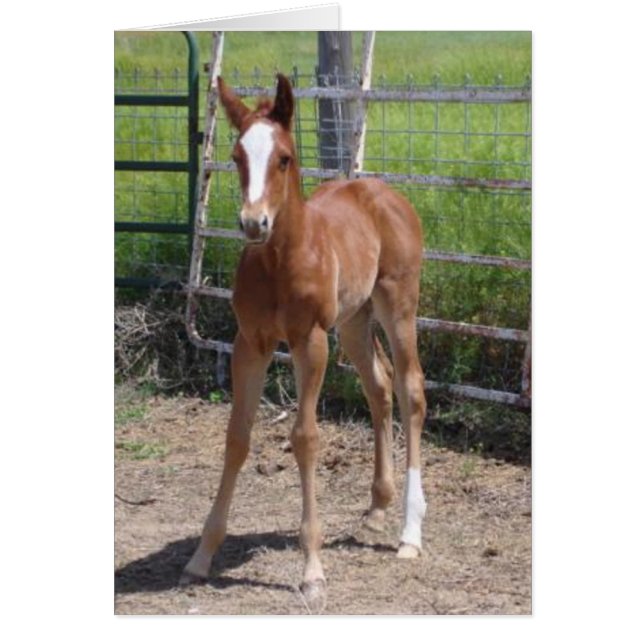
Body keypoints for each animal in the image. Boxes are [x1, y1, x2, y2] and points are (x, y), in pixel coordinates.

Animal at [181, 74, 428, 609]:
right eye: (236, 155)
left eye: (284, 158)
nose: (253, 223)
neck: (279, 261)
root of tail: (383, 191)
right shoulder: (249, 344)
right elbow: (237, 436)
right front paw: (202, 555)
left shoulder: (309, 342)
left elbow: (305, 437)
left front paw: (312, 570)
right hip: (354, 320)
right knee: (379, 388)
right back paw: (378, 507)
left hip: (397, 305)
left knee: (411, 390)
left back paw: (410, 533)